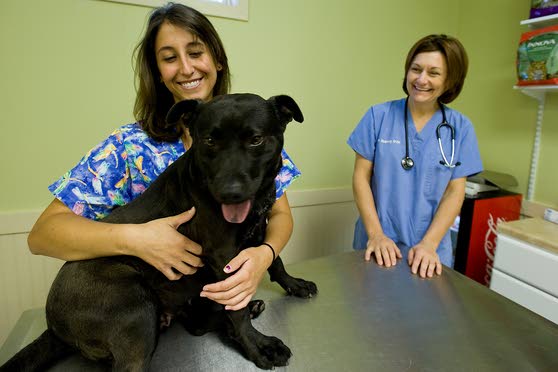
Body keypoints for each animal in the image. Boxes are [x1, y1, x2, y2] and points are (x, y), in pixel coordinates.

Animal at [0, 93, 318, 372]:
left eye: (255, 140)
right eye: (209, 140)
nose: (230, 193)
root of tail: (52, 326)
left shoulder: (258, 229)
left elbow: (274, 259)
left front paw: (294, 284)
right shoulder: (224, 256)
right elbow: (236, 309)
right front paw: (257, 345)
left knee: (197, 324)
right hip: (136, 311)